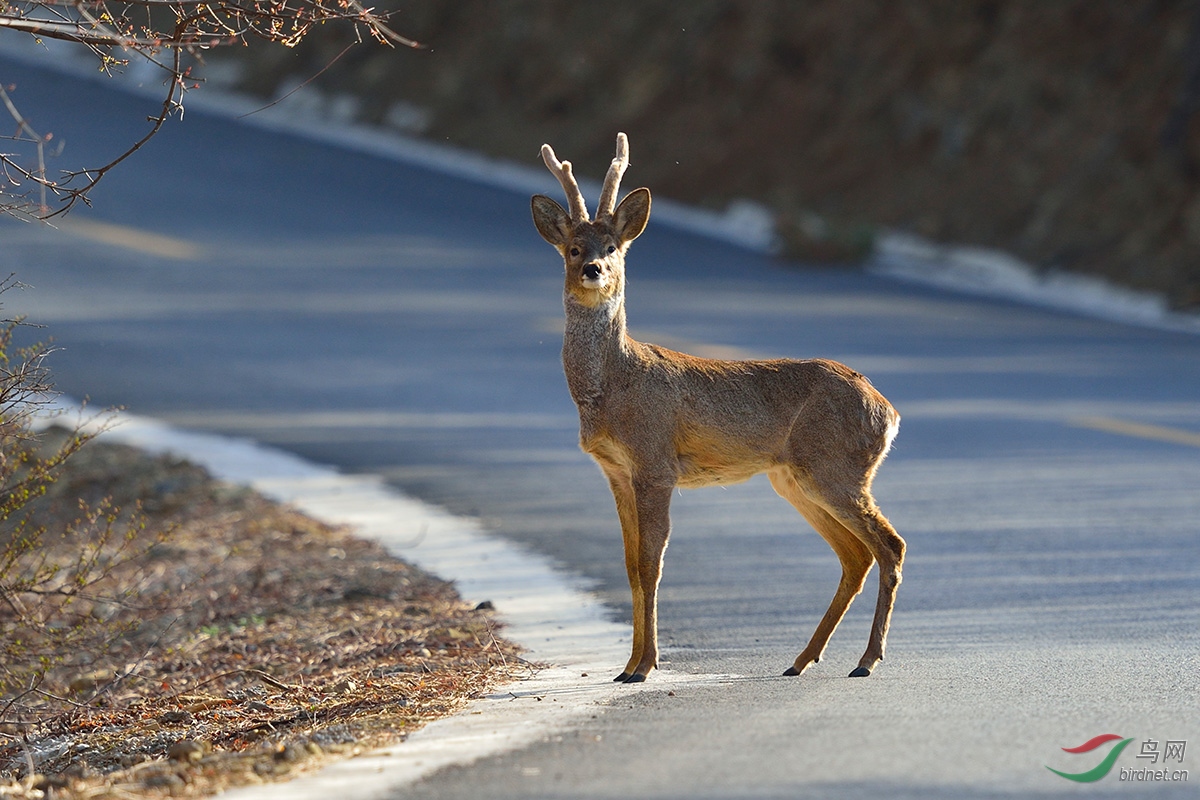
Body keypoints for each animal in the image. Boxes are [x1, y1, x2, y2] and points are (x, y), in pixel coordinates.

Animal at [530, 131, 902, 681]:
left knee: (888, 545)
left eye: (613, 247)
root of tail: (889, 411)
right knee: (856, 554)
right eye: (573, 248)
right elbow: (630, 565)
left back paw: (867, 660)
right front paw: (627, 665)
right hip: (794, 478)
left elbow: (651, 564)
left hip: (835, 467)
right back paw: (802, 660)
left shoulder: (655, 462)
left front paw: (645, 666)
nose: (594, 269)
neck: (614, 386)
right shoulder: (615, 470)